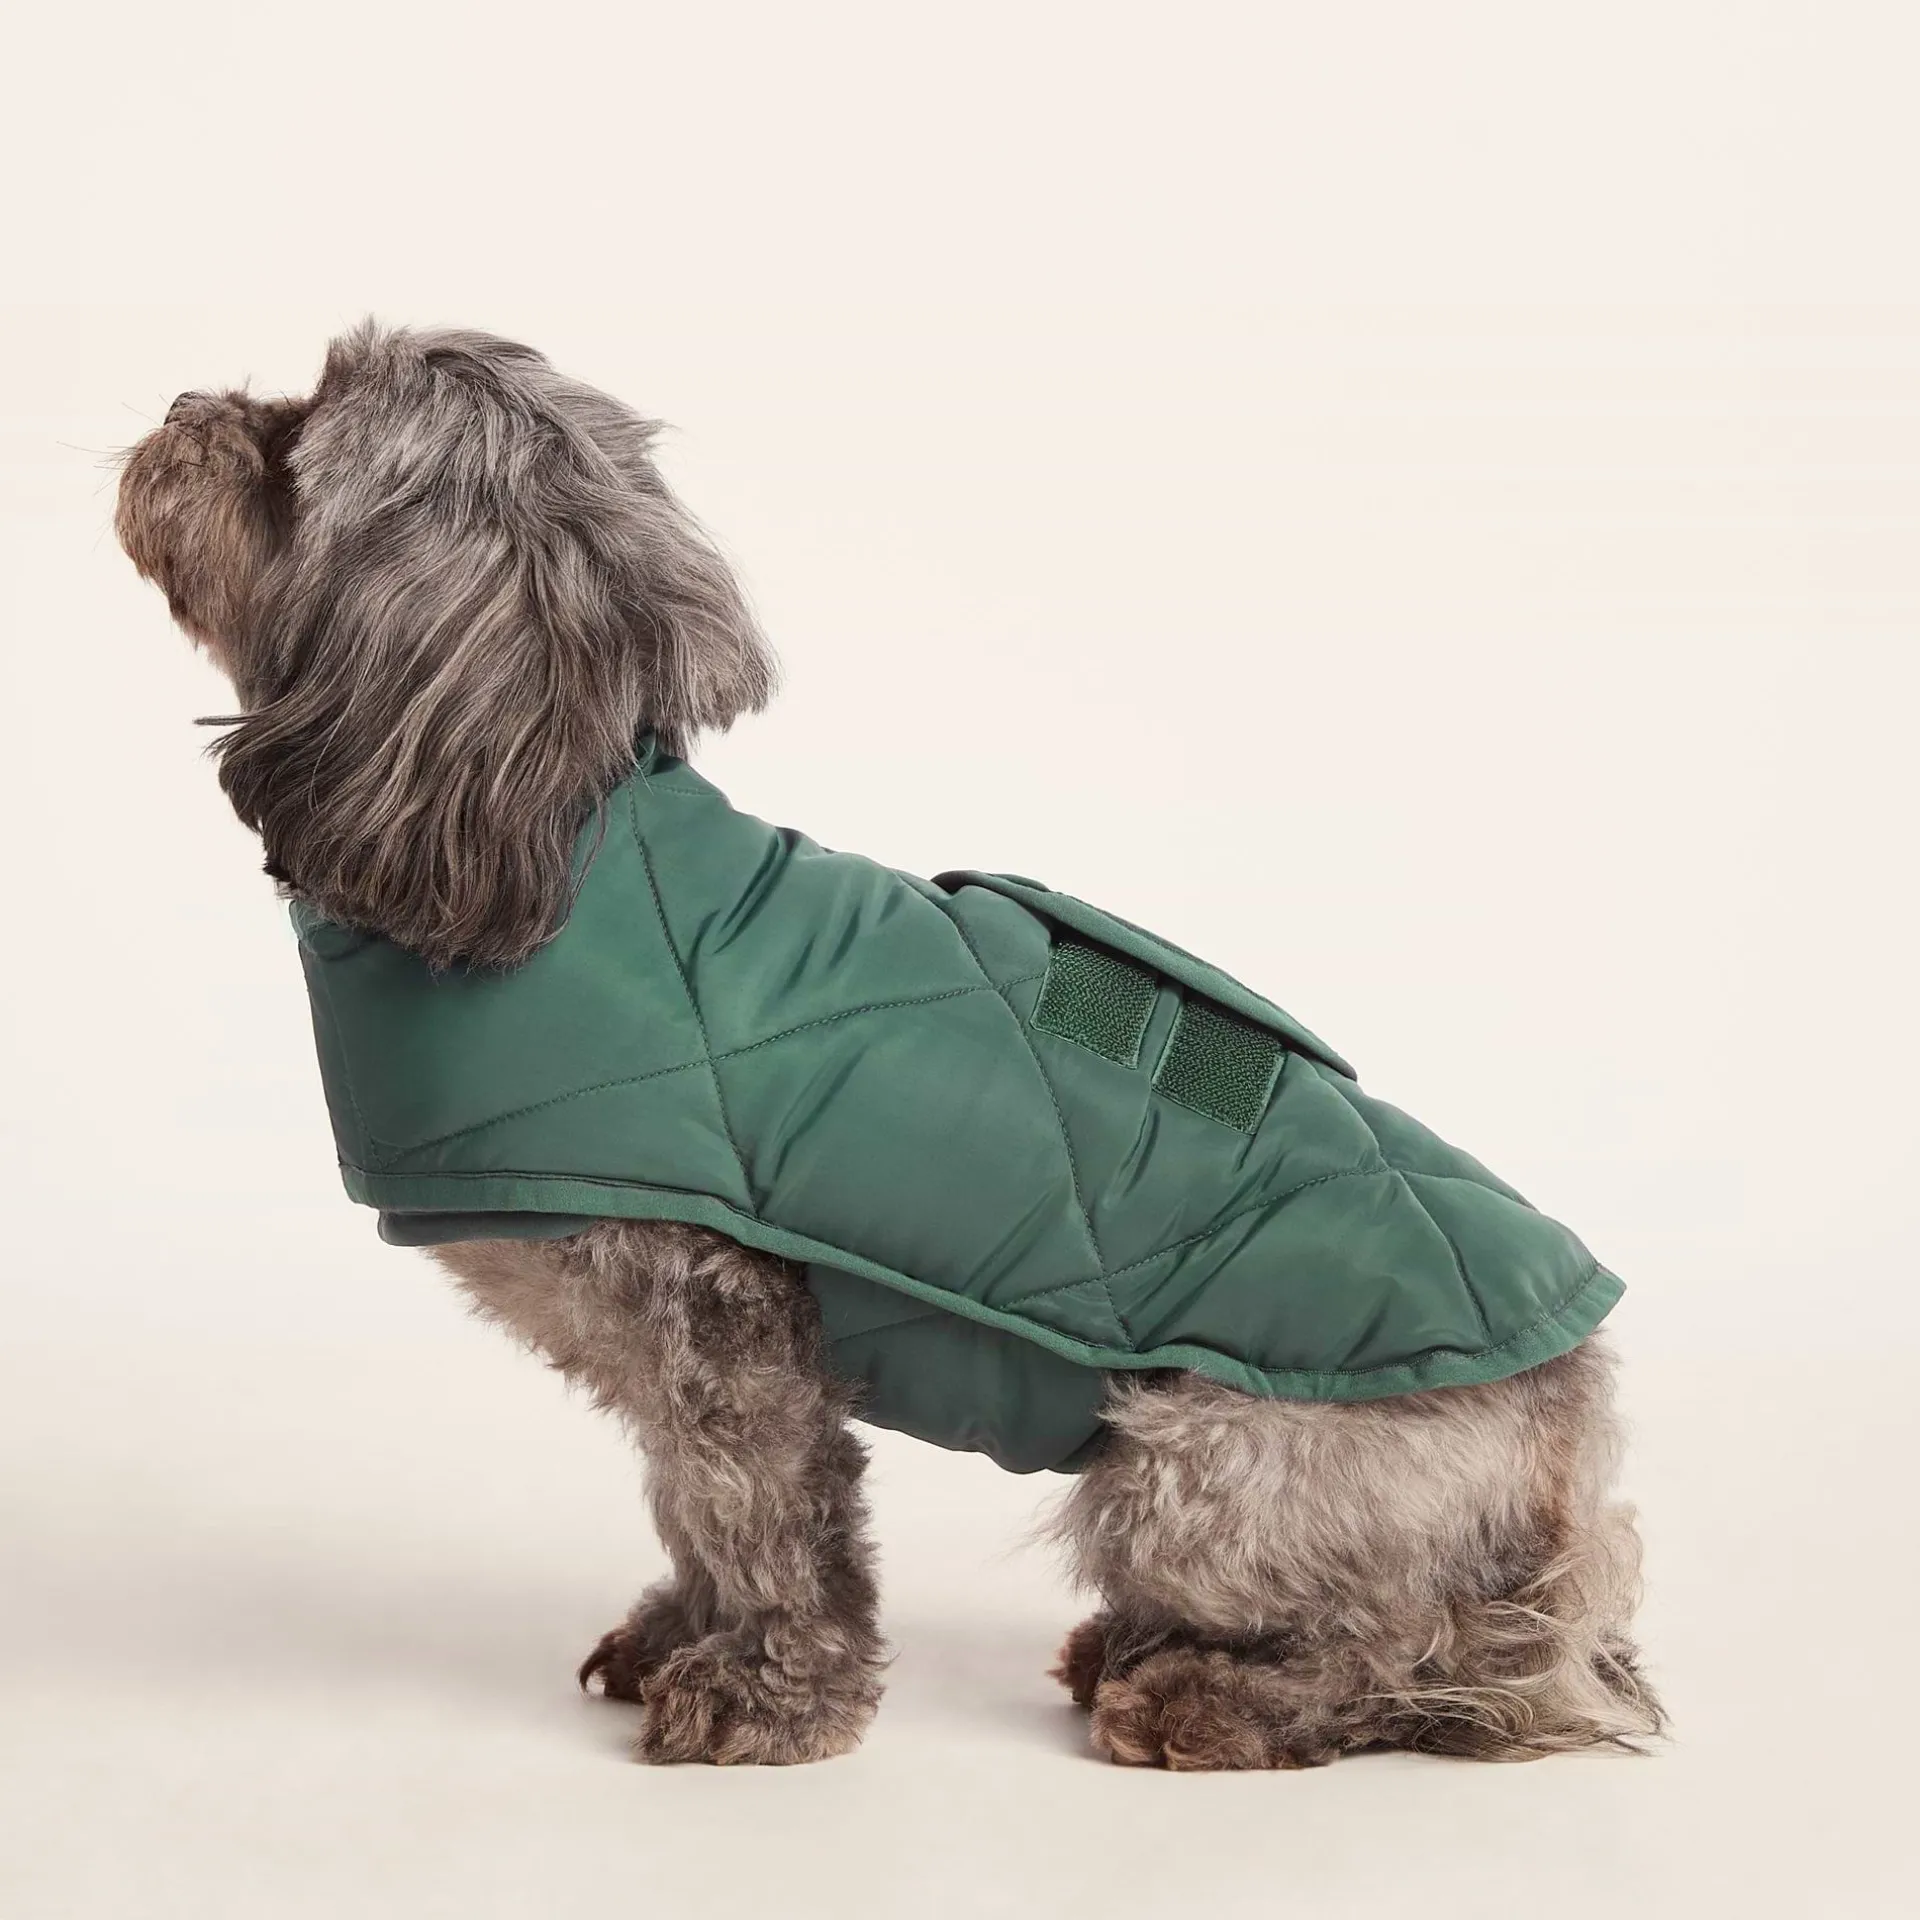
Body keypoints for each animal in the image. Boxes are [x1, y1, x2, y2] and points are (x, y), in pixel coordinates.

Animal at [116, 323, 1662, 1768]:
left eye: (299, 433)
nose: (182, 407)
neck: (558, 856)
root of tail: (1574, 1437)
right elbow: (693, 1511)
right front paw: (682, 1636)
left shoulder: (729, 1327)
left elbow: (754, 1510)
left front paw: (765, 1690)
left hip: (1200, 1457)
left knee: (1420, 1653)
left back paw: (1216, 1694)